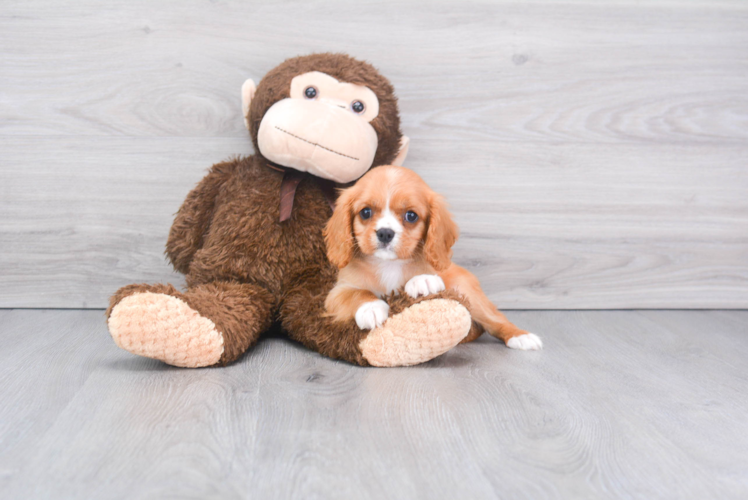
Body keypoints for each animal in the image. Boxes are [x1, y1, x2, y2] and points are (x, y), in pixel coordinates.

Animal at [324, 166, 540, 350]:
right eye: (366, 212)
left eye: (411, 216)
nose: (385, 233)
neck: (388, 264)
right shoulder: (336, 293)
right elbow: (356, 293)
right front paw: (372, 307)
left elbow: (427, 277)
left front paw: (423, 281)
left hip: (468, 293)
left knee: (496, 320)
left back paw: (521, 336)